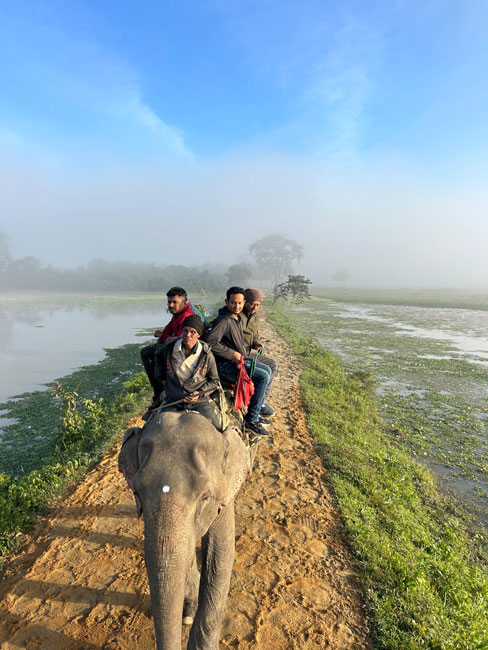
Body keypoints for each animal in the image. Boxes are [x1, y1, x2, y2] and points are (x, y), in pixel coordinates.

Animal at [117, 410, 250, 648]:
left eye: (205, 497)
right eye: (137, 492)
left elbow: (220, 555)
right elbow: (182, 553)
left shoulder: (224, 494)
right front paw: (188, 613)